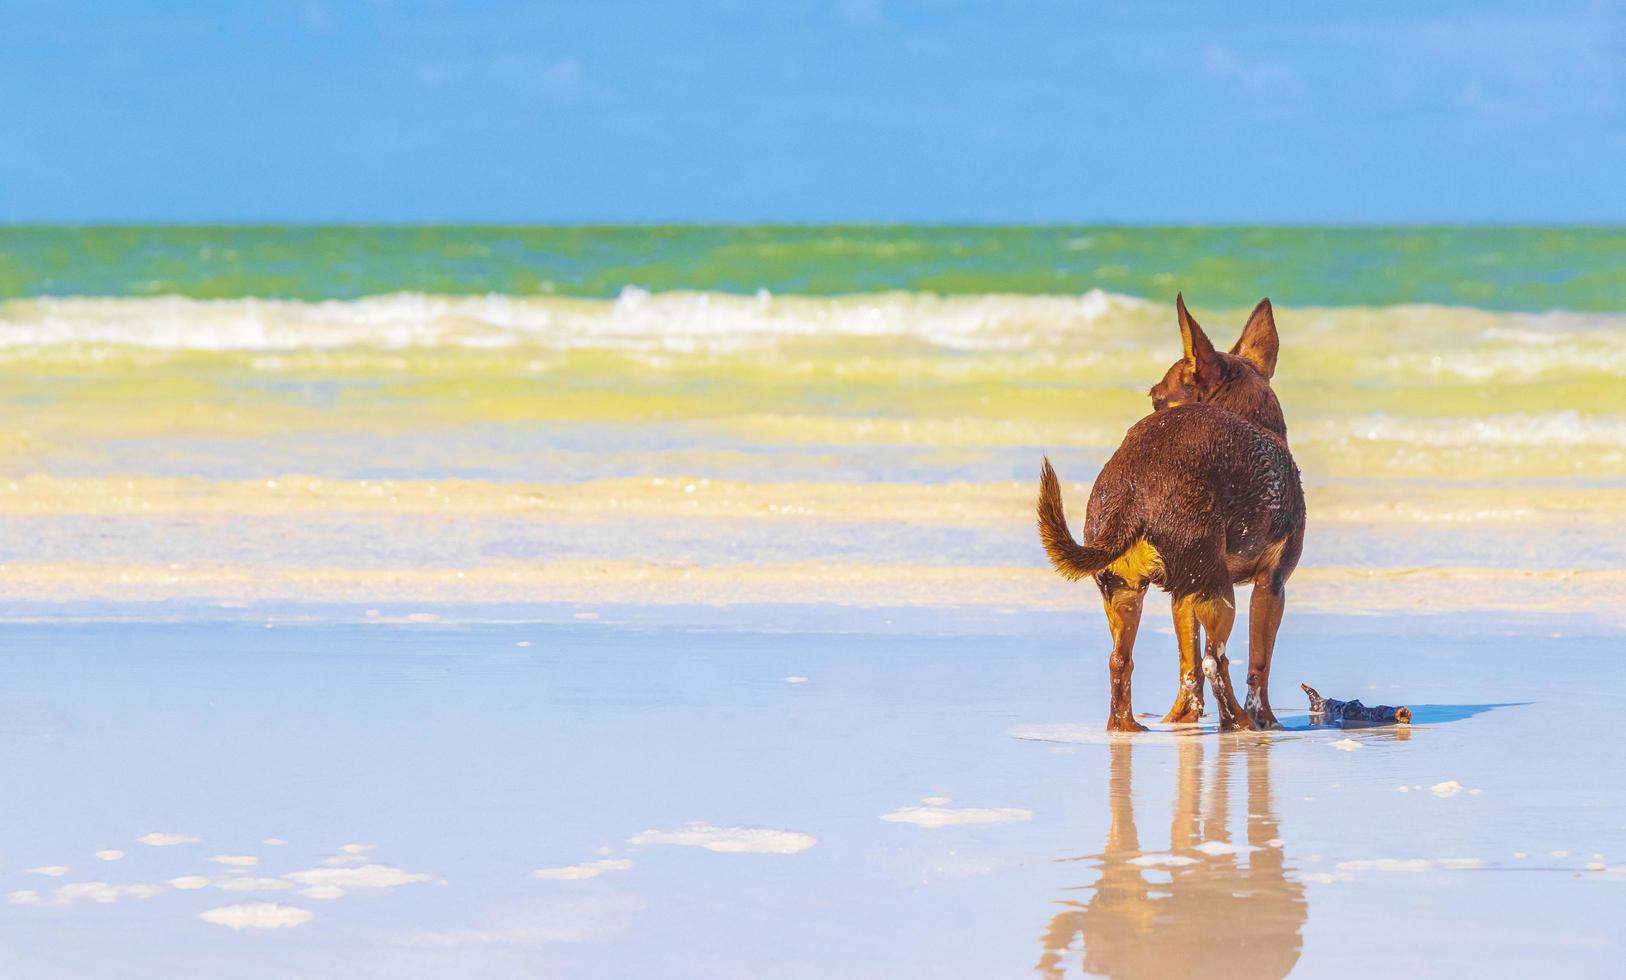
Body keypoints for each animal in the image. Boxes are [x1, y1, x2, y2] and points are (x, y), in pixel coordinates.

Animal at [1040, 295, 1307, 731]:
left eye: (1155, 399)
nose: (1147, 405)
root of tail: (1132, 493)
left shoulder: (1182, 596)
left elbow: (1187, 664)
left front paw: (1183, 716)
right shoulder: (1272, 583)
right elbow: (1258, 663)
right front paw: (1266, 720)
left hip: (1126, 593)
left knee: (1122, 660)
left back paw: (1128, 726)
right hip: (1219, 593)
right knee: (1216, 661)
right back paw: (1239, 722)